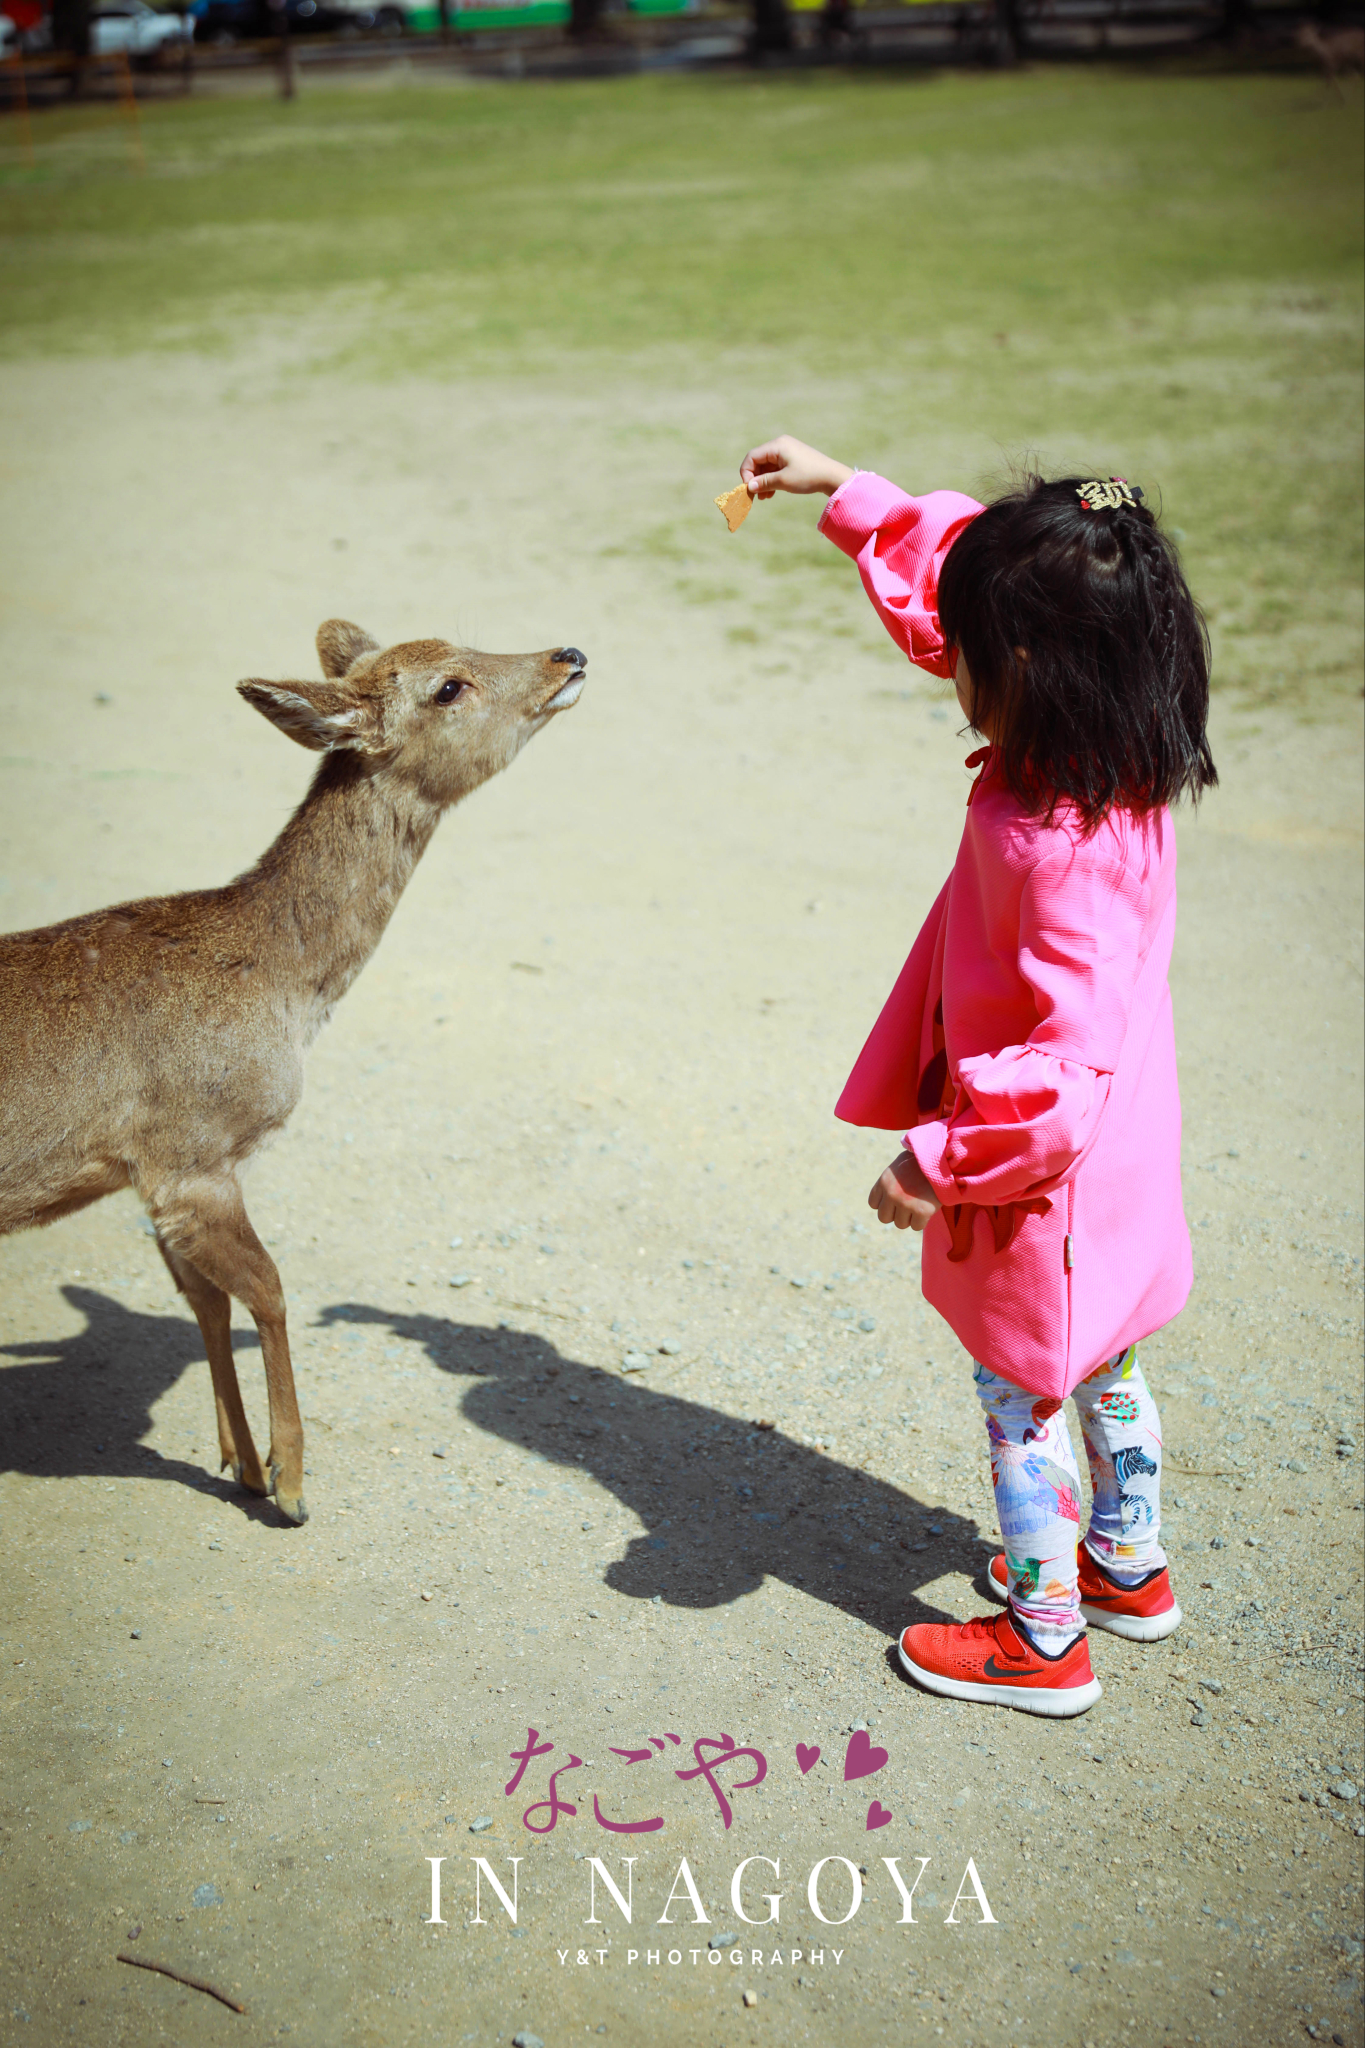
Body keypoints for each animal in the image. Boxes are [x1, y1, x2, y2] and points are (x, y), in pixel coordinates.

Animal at [0, 614, 589, 1531]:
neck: (282, 987)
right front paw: (289, 1482)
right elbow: (269, 1289)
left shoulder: (157, 1177)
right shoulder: (191, 1153)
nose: (570, 654)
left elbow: (203, 1298)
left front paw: (239, 1462)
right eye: (447, 686)